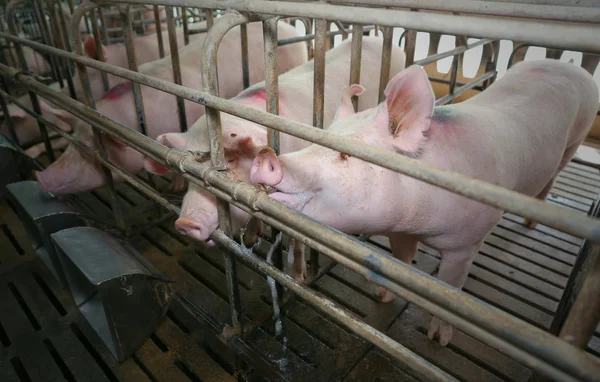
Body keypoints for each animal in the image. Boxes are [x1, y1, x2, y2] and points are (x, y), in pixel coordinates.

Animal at [144, 36, 408, 280]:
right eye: (188, 173)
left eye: (230, 163)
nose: (185, 224)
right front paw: (253, 237)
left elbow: (297, 238)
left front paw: (298, 277)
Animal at [250, 60, 600, 346]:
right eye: (313, 141)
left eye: (345, 155)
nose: (265, 156)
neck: (420, 221)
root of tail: (570, 66)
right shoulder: (400, 231)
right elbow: (402, 263)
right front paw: (382, 295)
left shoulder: (467, 242)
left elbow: (451, 289)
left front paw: (438, 339)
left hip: (575, 139)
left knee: (554, 175)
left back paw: (531, 220)